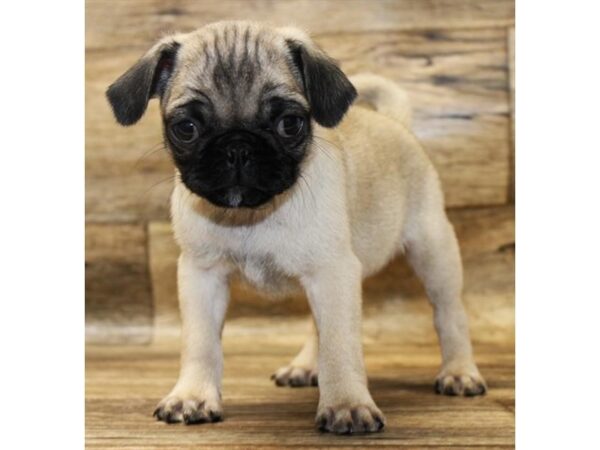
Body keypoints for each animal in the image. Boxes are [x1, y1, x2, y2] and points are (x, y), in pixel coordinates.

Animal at [105, 20, 486, 432]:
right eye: (186, 128)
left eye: (290, 123)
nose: (237, 147)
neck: (251, 214)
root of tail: (394, 123)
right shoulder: (201, 276)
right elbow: (200, 343)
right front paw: (192, 396)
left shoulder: (333, 274)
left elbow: (339, 345)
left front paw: (347, 404)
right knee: (315, 326)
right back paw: (304, 366)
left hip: (432, 249)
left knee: (448, 313)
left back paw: (460, 372)